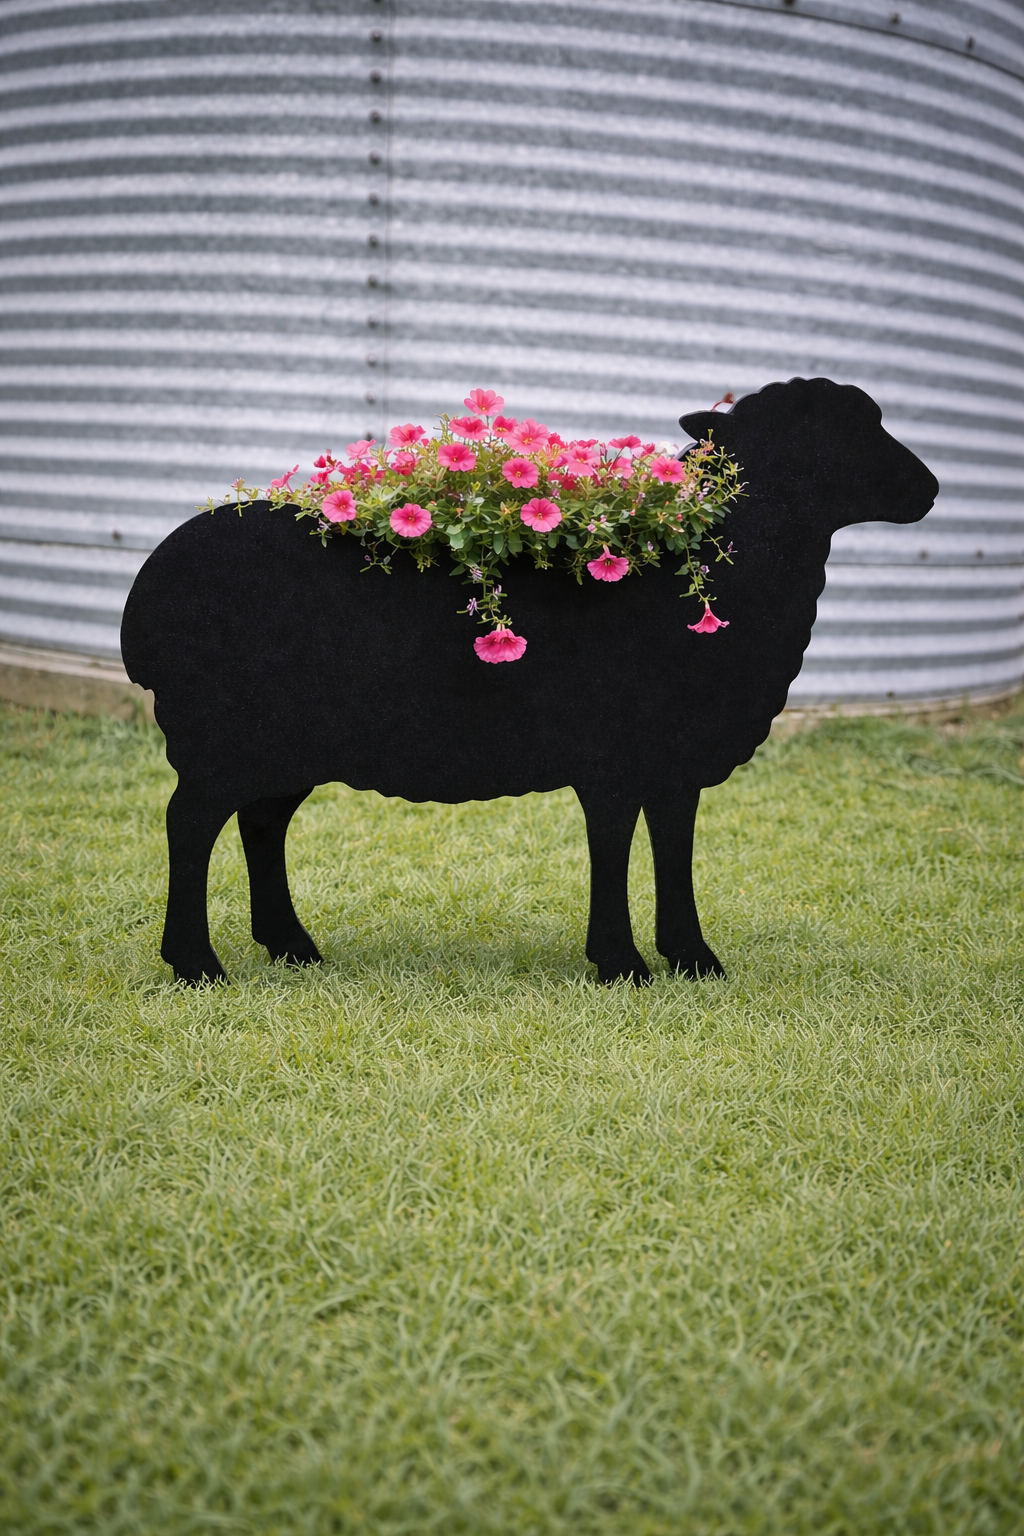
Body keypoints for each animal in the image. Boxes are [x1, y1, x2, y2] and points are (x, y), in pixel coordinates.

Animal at [121, 377, 938, 985]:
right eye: (837, 434)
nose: (930, 490)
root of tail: (146, 598)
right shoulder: (614, 761)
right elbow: (613, 848)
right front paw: (622, 965)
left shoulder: (672, 763)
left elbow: (673, 850)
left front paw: (694, 961)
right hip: (225, 735)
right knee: (189, 824)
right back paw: (196, 965)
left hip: (281, 744)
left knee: (261, 824)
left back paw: (292, 948)